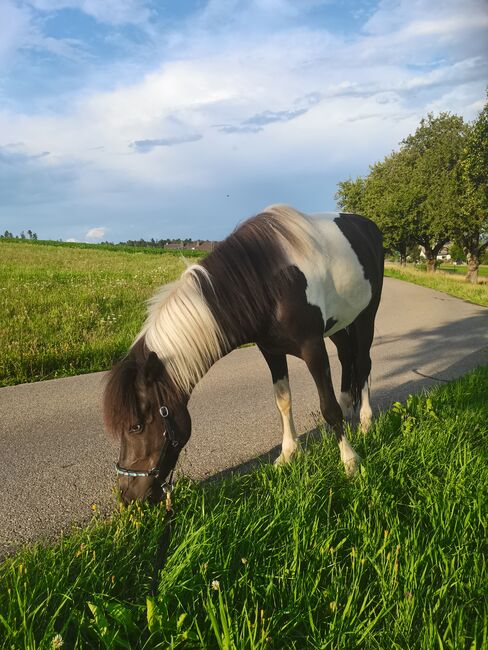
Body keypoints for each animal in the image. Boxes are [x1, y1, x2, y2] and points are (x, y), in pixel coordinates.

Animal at [104, 202, 386, 502]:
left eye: (135, 426)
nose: (127, 496)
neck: (271, 284)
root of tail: (369, 226)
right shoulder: (272, 351)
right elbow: (283, 401)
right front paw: (288, 454)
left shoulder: (313, 349)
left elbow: (328, 407)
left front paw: (349, 462)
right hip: (338, 324)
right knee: (346, 356)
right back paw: (347, 409)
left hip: (366, 316)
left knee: (363, 362)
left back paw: (366, 422)